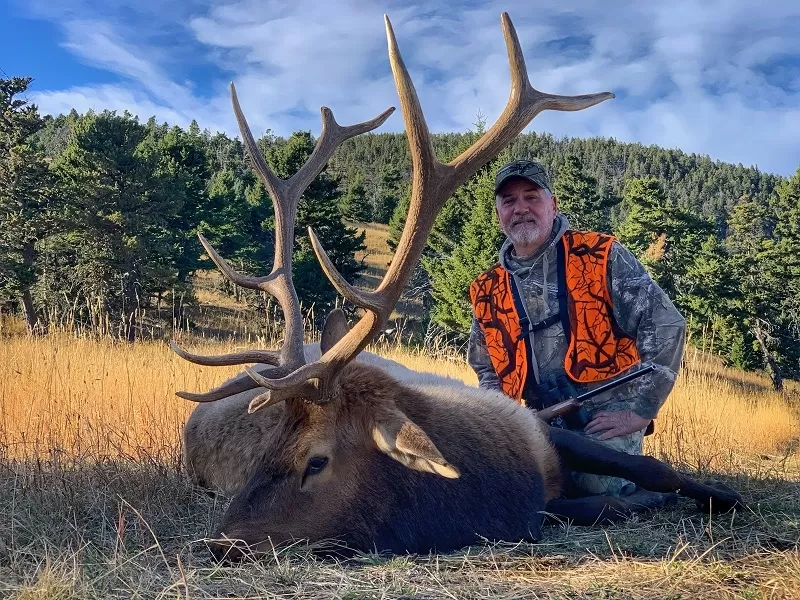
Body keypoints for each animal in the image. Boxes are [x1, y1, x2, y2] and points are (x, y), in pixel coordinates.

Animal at [170, 11, 752, 560]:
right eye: (267, 449)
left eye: (316, 461)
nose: (220, 541)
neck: (487, 495)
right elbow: (600, 503)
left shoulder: (541, 427)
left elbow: (653, 469)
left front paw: (721, 495)